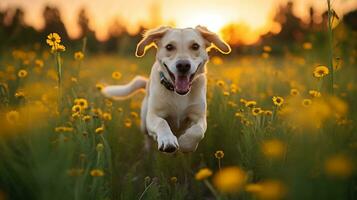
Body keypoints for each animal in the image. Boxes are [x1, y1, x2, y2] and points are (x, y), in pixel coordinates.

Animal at [102, 25, 231, 153]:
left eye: (195, 46)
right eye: (169, 47)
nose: (183, 65)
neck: (179, 94)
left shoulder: (199, 117)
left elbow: (197, 131)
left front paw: (185, 144)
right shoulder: (152, 116)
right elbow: (162, 122)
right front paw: (167, 140)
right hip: (144, 122)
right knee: (148, 138)